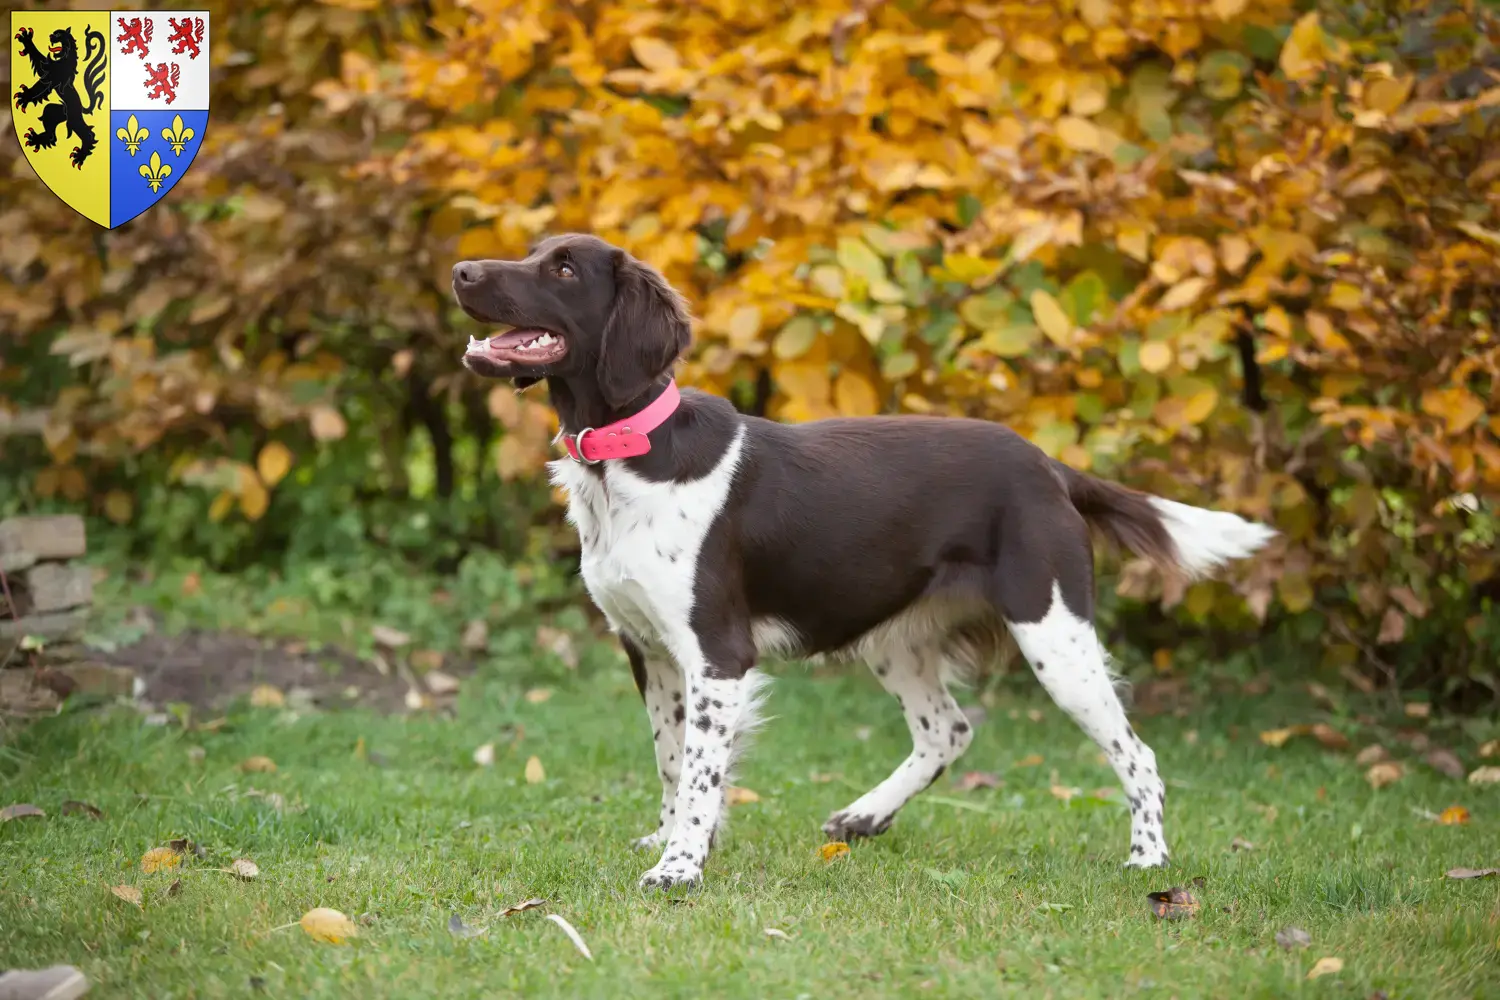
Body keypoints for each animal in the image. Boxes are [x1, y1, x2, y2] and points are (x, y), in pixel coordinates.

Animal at [13, 24, 108, 169]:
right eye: (54, 33)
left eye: (58, 34)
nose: (50, 36)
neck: (65, 59)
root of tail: (82, 108)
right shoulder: (48, 71)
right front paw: (26, 39)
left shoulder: (51, 76)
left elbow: (38, 86)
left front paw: (24, 96)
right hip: (55, 111)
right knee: (51, 132)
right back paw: (36, 139)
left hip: (74, 119)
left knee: (88, 134)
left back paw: (79, 156)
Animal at [450, 235, 1272, 893]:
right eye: (533, 251)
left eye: (561, 268)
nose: (459, 270)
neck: (631, 455)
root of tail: (1050, 465)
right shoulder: (648, 651)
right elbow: (673, 762)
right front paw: (676, 840)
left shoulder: (717, 654)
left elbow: (700, 773)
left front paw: (679, 868)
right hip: (898, 637)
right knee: (948, 729)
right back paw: (865, 816)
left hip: (1054, 631)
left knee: (1138, 752)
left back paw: (1149, 859)